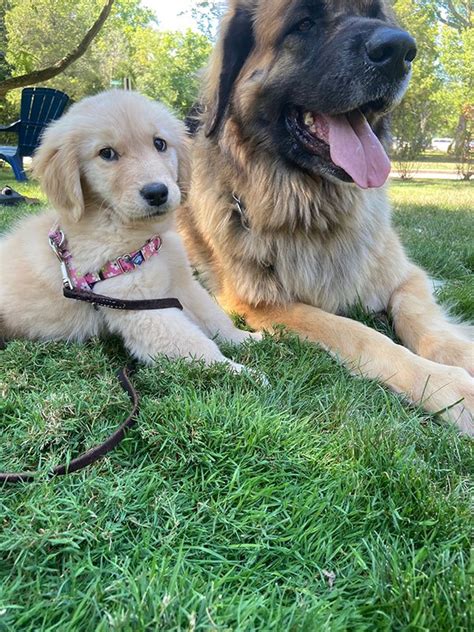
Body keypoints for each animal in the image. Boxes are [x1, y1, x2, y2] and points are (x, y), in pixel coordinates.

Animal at [0, 89, 260, 370]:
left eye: (160, 144)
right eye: (106, 153)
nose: (157, 192)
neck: (131, 230)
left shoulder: (182, 283)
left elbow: (214, 317)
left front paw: (247, 338)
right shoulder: (137, 304)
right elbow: (195, 344)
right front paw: (242, 372)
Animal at [179, 0, 474, 434]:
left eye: (376, 15)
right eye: (304, 23)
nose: (401, 50)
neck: (313, 205)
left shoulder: (407, 277)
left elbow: (425, 324)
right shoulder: (264, 305)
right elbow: (361, 334)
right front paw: (451, 388)